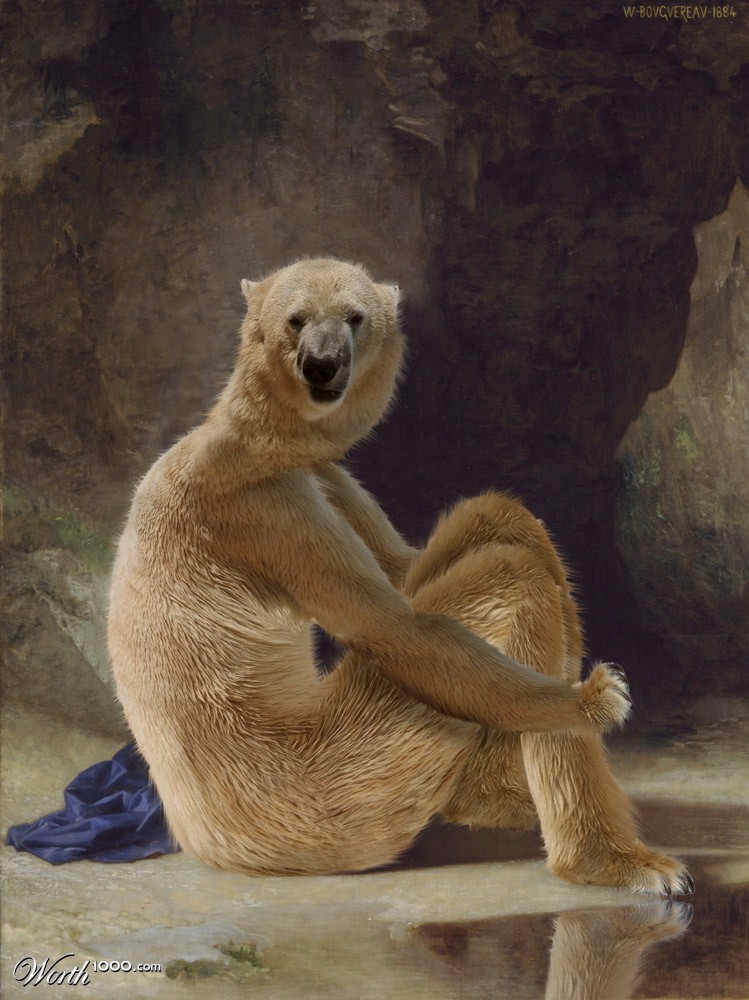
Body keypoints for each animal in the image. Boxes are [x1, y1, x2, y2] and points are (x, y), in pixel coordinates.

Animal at [108, 257, 692, 893]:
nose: (322, 364)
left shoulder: (320, 477)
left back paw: (502, 799)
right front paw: (592, 700)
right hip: (341, 785)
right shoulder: (262, 507)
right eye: (296, 319)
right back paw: (611, 859)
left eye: (355, 317)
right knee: (501, 591)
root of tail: (206, 842)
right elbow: (398, 629)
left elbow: (410, 564)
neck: (253, 438)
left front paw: (504, 519)